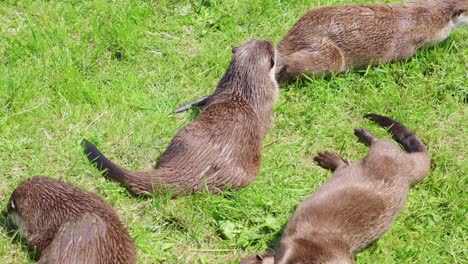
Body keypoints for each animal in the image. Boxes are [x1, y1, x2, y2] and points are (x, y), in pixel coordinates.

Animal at [241, 114, 432, 264]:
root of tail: (408, 168)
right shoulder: (297, 246)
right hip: (385, 152)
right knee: (378, 142)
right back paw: (361, 133)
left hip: (384, 154)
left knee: (348, 162)